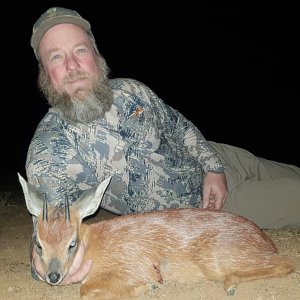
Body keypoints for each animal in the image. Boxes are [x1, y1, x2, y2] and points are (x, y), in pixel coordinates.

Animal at [18, 175, 296, 298]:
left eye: (72, 244)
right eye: (38, 244)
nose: (53, 276)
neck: (95, 246)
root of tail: (266, 241)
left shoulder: (132, 265)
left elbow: (85, 289)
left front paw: (145, 286)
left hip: (218, 257)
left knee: (287, 263)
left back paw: (230, 284)